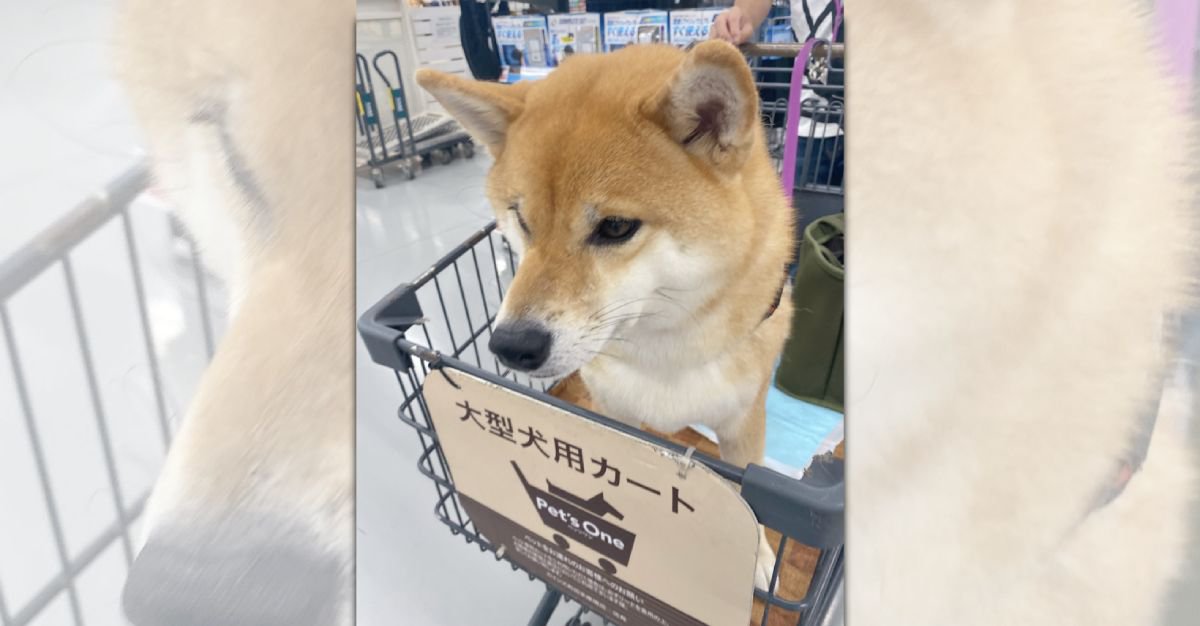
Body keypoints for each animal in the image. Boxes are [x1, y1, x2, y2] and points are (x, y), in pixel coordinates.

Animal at [417, 41, 801, 587]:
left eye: (616, 227)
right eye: (522, 220)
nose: (510, 346)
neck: (665, 351)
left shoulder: (742, 422)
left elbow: (748, 504)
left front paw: (760, 561)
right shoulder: (613, 418)